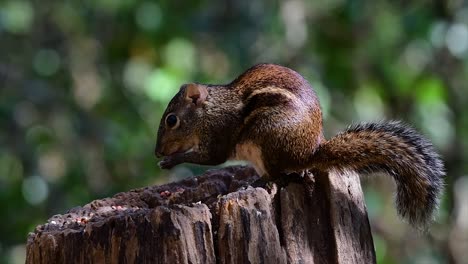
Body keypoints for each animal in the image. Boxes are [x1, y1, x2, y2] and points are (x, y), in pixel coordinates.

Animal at [154, 63, 446, 228]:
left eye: (171, 120)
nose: (157, 151)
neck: (210, 110)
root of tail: (310, 152)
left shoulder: (218, 135)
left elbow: (211, 158)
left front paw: (170, 161)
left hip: (267, 138)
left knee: (277, 175)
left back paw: (256, 183)